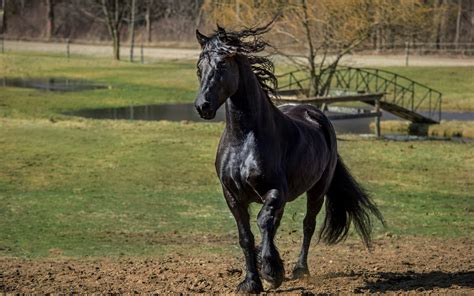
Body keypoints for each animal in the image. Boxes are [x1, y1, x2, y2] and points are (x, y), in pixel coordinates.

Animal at [194, 24, 384, 292]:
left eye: (222, 65)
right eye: (199, 67)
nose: (203, 106)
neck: (244, 140)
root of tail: (316, 113)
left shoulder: (276, 191)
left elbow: (264, 222)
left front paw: (272, 272)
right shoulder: (233, 196)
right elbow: (246, 236)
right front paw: (251, 282)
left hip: (317, 190)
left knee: (307, 225)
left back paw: (298, 269)